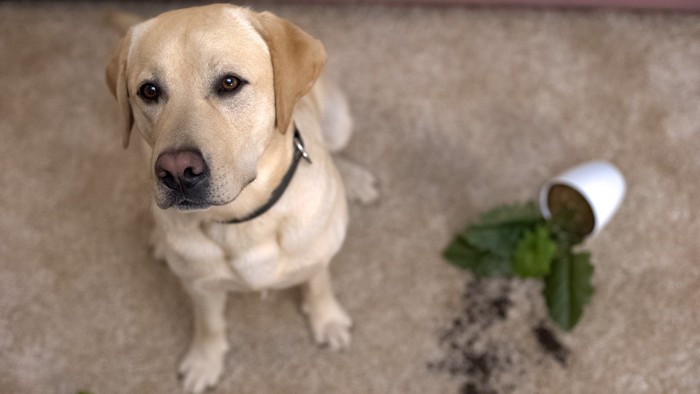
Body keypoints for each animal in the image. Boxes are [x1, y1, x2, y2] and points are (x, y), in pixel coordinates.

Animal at [104, 3, 378, 394]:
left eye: (229, 83)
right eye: (149, 91)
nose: (177, 171)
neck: (242, 218)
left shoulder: (318, 257)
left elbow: (318, 286)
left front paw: (327, 320)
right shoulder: (200, 287)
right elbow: (209, 324)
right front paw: (206, 360)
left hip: (339, 120)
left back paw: (354, 179)